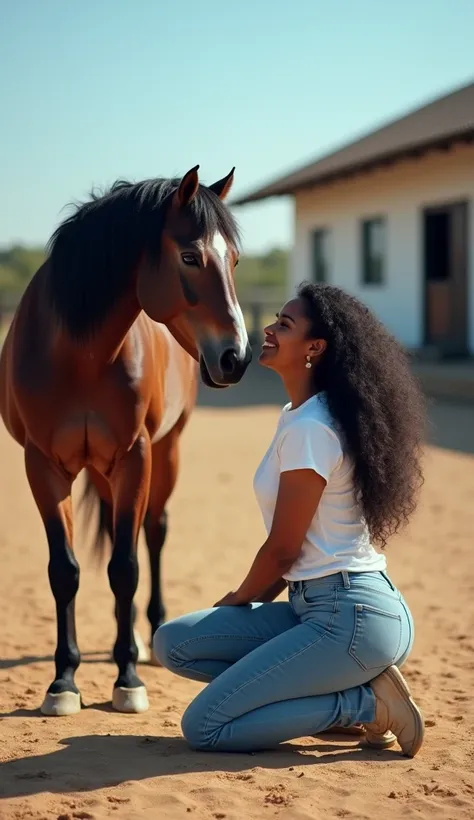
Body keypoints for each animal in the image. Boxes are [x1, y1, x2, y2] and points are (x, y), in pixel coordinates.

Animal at [0, 167, 252, 716]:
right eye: (190, 256)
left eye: (235, 260)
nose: (237, 358)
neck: (79, 355)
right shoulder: (42, 465)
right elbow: (65, 571)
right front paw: (63, 683)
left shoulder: (135, 457)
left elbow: (126, 567)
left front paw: (128, 680)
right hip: (100, 468)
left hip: (165, 452)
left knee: (153, 533)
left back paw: (150, 635)